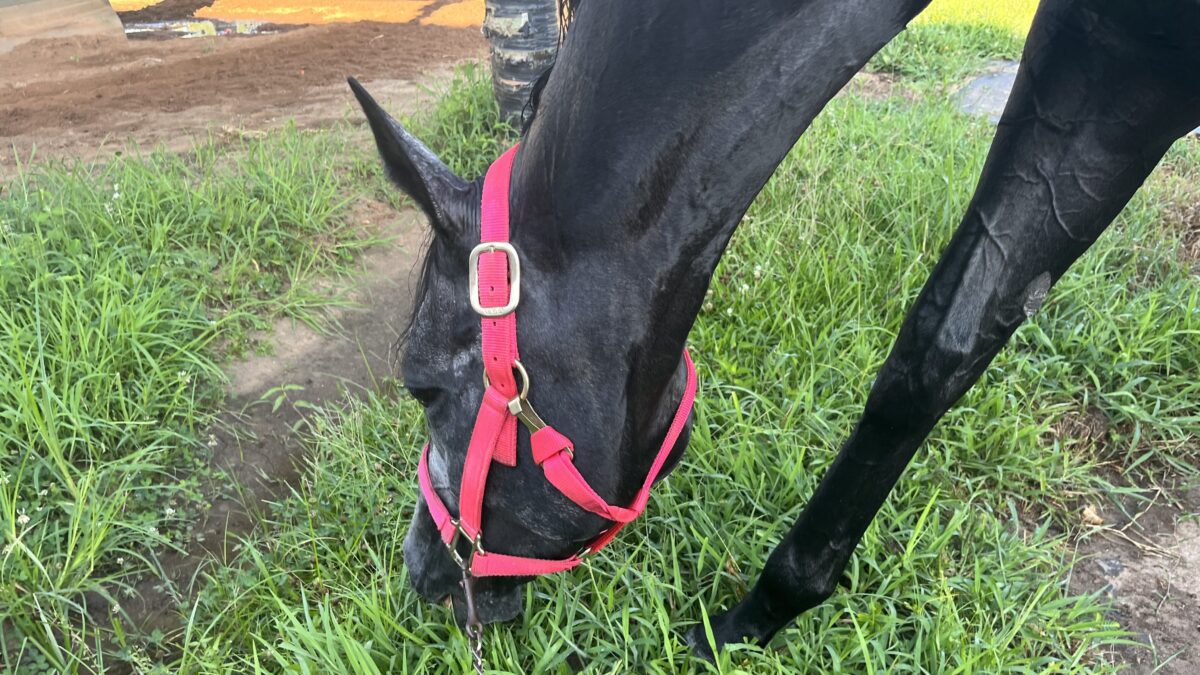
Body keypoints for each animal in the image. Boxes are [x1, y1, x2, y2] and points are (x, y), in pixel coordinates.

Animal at [349, 0, 1200, 657]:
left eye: (423, 386)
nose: (420, 569)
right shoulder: (1107, 53)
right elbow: (935, 352)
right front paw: (755, 619)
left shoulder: (1138, 68)